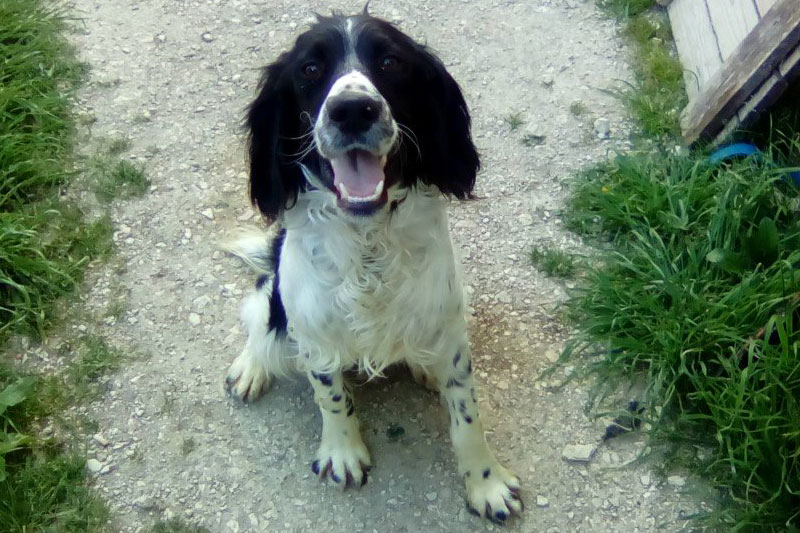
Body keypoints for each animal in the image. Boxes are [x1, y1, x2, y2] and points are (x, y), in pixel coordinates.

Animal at [225, 9, 524, 524]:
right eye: (309, 69)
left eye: (390, 62)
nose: (352, 110)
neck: (367, 242)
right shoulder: (314, 332)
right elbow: (330, 396)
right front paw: (343, 453)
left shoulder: (448, 327)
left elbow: (467, 414)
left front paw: (486, 483)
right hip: (277, 298)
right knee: (261, 317)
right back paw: (251, 367)